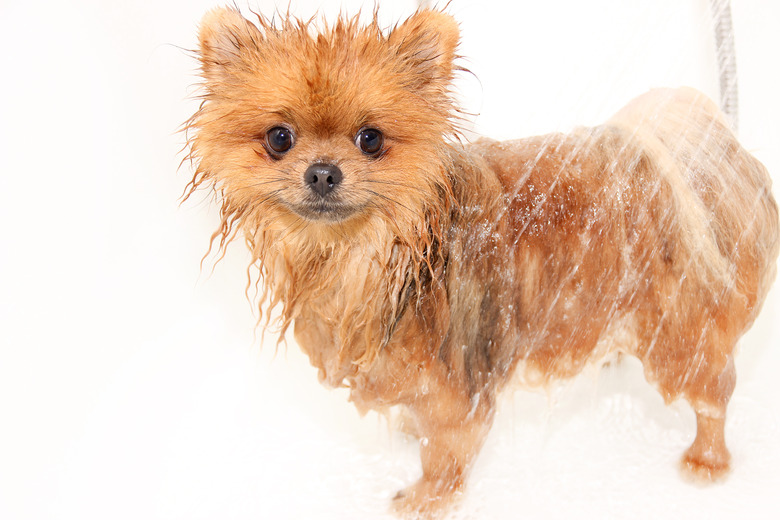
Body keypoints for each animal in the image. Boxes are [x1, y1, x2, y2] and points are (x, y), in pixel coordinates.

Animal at [187, 5, 780, 516]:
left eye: (370, 139)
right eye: (279, 138)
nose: (322, 172)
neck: (362, 255)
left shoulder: (458, 384)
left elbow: (445, 452)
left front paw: (427, 499)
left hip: (679, 335)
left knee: (712, 398)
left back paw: (706, 462)